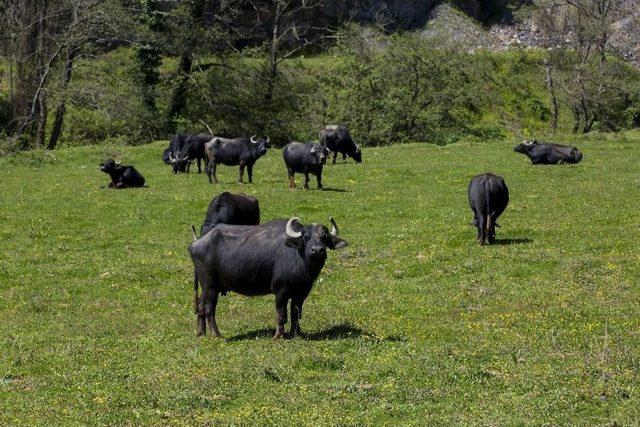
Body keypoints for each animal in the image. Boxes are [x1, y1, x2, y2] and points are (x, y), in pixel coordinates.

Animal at [189, 217, 348, 338]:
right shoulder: (281, 291)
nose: (317, 250)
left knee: (200, 306)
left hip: (208, 287)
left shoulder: (301, 293)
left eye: (325, 237)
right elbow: (282, 314)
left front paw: (296, 334)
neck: (300, 260)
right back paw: (217, 335)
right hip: (209, 286)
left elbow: (295, 314)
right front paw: (279, 335)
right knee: (209, 310)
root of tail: (195, 244)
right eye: (306, 237)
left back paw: (201, 333)